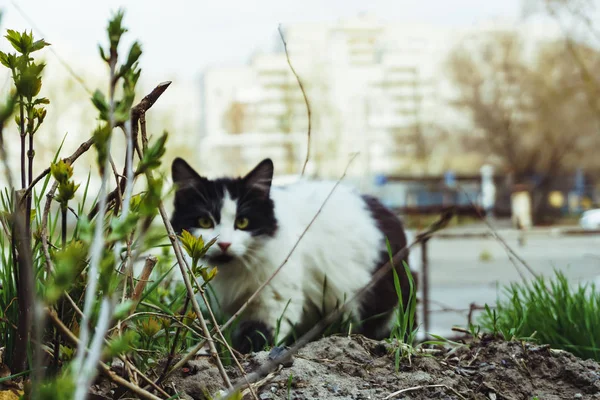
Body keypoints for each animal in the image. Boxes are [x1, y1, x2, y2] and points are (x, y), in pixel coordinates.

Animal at [169, 158, 412, 352]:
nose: (224, 244)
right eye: (204, 222)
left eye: (243, 222)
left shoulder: (275, 301)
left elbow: (257, 336)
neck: (232, 272)